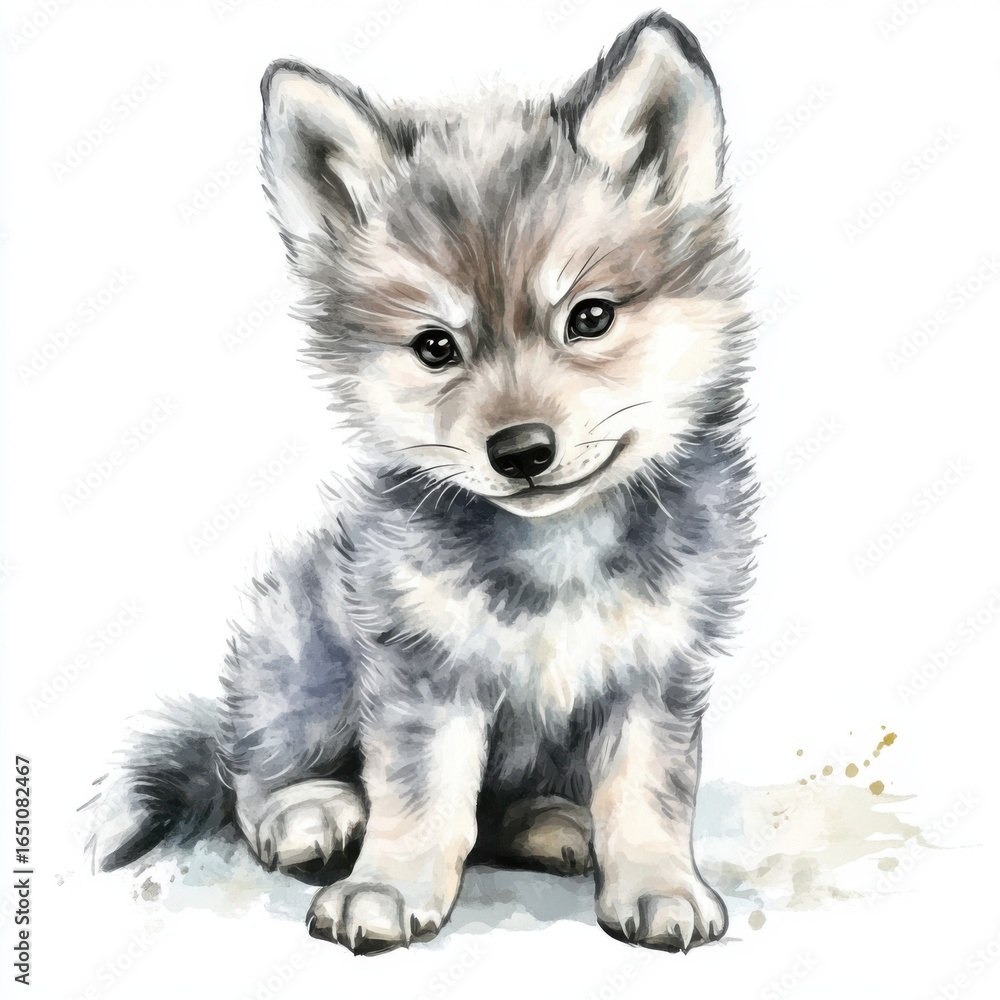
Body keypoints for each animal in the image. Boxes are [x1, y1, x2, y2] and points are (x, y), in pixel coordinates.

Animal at [87, 10, 756, 955]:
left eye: (589, 318)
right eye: (436, 346)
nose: (521, 449)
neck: (554, 553)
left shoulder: (655, 673)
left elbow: (647, 796)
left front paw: (661, 886)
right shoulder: (422, 673)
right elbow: (420, 800)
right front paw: (389, 890)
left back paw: (551, 822)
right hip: (304, 660)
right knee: (247, 773)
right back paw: (310, 814)